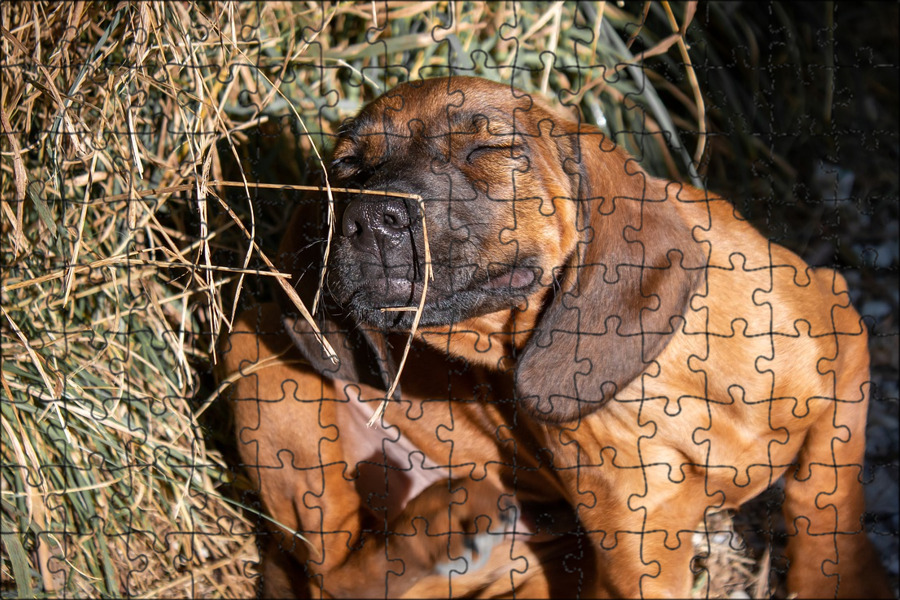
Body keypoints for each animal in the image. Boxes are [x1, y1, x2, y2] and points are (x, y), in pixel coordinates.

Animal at [326, 75, 892, 596]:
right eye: (348, 167)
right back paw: (446, 519)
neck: (658, 384)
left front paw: (847, 580)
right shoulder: (640, 560)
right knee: (338, 575)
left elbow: (827, 494)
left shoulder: (844, 332)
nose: (370, 218)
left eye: (488, 150)